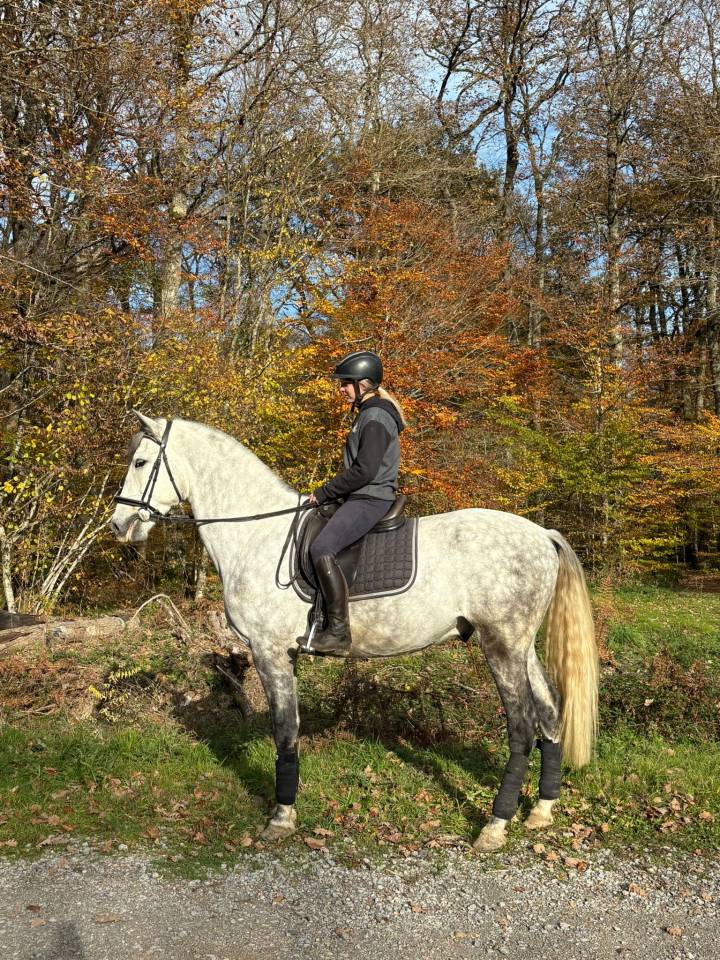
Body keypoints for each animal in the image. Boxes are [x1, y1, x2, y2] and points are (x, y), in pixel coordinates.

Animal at [110, 411, 598, 852]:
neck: (257, 534)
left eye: (140, 462)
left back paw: (495, 826)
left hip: (500, 645)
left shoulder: (269, 652)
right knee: (550, 712)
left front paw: (281, 817)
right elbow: (290, 728)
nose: (119, 526)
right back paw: (541, 810)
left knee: (522, 726)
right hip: (521, 647)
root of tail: (542, 535)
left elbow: (284, 731)